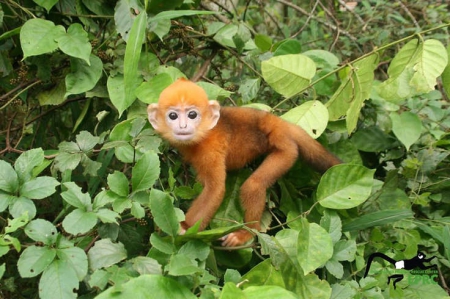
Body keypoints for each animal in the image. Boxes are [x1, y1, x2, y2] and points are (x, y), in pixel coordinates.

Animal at [148, 78, 342, 247]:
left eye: (192, 114)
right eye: (173, 116)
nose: (183, 126)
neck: (202, 134)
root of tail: (276, 122)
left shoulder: (210, 148)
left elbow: (214, 189)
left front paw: (186, 227)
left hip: (285, 150)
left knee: (253, 184)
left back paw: (247, 232)